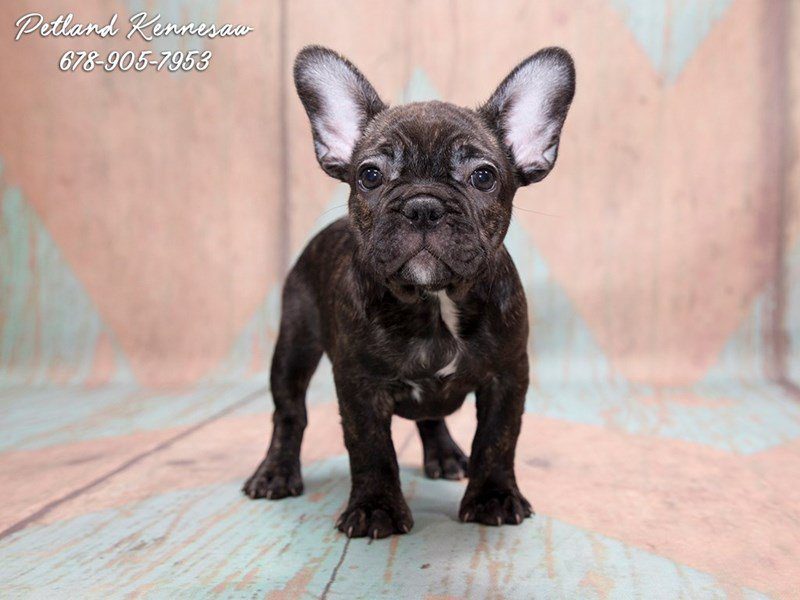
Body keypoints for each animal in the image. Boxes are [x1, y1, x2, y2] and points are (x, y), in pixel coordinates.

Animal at [244, 44, 576, 536]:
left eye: (483, 177)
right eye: (369, 175)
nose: (422, 206)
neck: (434, 299)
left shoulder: (507, 375)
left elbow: (498, 440)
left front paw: (493, 497)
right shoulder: (360, 385)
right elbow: (371, 449)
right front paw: (376, 507)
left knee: (430, 418)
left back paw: (444, 454)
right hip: (294, 345)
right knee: (288, 413)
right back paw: (275, 473)